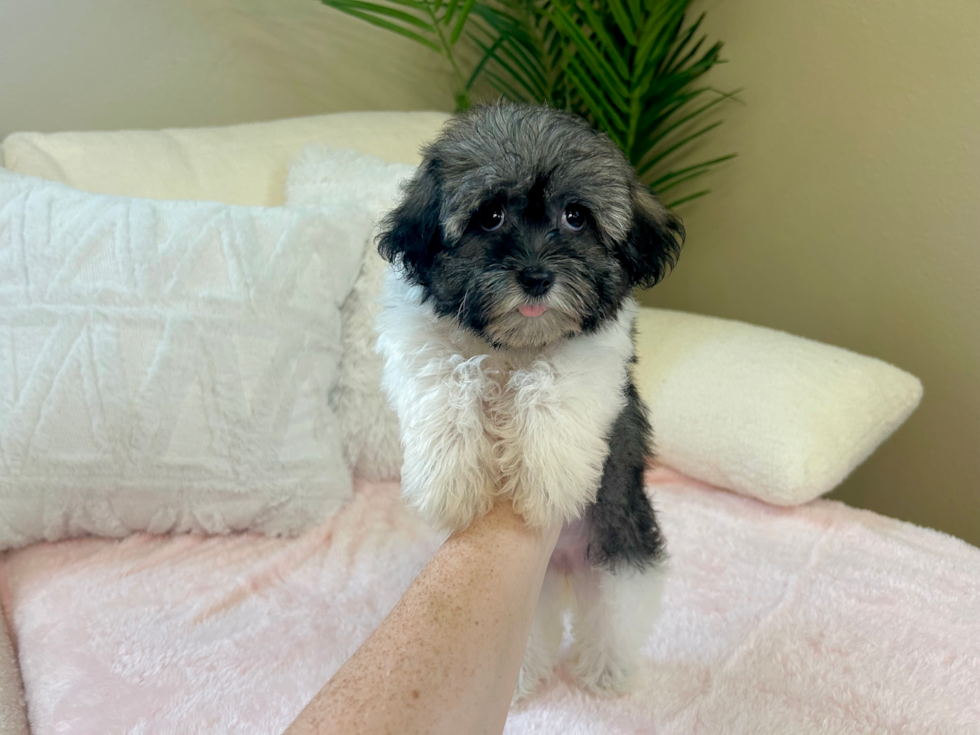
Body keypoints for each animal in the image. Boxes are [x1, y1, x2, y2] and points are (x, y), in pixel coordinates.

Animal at [374, 103, 680, 700]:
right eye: (490, 216)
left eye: (576, 216)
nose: (537, 276)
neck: (512, 345)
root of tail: (560, 569)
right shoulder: (416, 338)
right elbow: (445, 379)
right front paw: (452, 480)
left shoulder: (594, 352)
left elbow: (554, 384)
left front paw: (545, 479)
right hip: (532, 599)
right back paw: (523, 677)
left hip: (622, 542)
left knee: (615, 611)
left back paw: (605, 669)